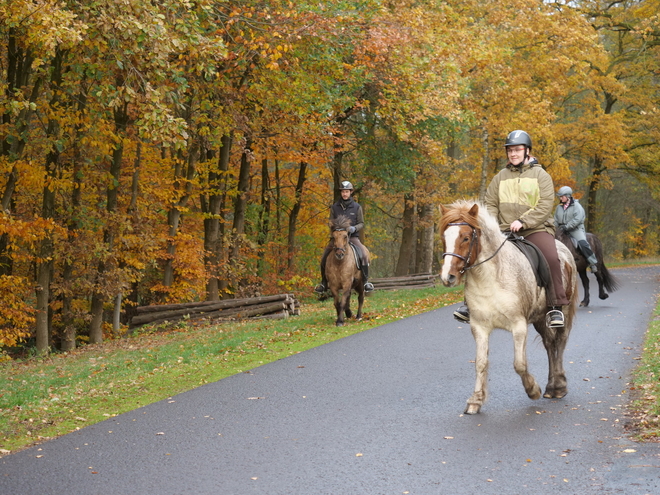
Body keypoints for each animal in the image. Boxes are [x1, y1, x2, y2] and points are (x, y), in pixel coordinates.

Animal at [440, 201, 580, 414]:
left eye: (465, 237)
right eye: (444, 238)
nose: (448, 277)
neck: (490, 278)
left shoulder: (518, 326)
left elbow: (519, 364)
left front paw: (533, 390)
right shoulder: (479, 327)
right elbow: (480, 363)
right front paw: (476, 400)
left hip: (563, 311)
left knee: (561, 343)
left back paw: (559, 387)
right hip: (540, 318)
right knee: (550, 345)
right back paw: (551, 387)